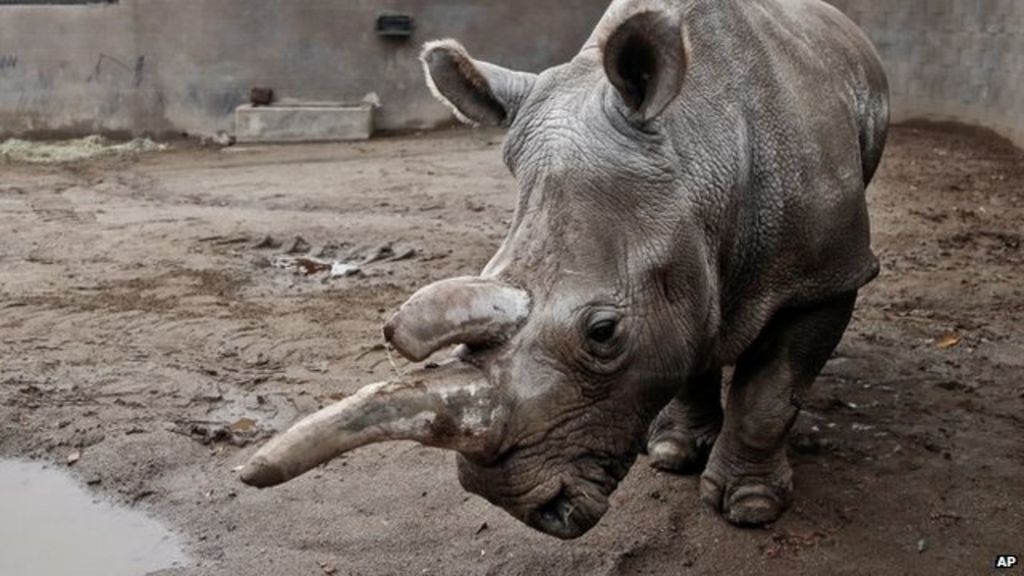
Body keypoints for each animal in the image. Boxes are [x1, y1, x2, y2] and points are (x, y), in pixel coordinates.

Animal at [240, 0, 888, 539]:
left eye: (603, 333)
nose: (519, 506)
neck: (699, 150)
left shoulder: (828, 276)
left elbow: (769, 395)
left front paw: (751, 508)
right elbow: (691, 337)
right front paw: (673, 453)